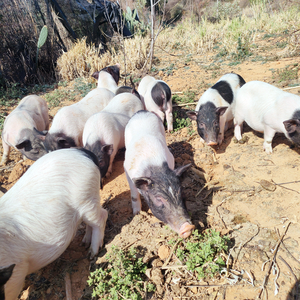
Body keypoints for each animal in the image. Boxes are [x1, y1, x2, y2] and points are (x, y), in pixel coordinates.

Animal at [0, 148, 108, 300]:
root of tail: (82, 152)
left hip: (86, 199)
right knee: (93, 222)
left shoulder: (17, 271)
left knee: (102, 217)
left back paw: (92, 254)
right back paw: (84, 243)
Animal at [122, 110, 195, 239]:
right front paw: (137, 214)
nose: (188, 227)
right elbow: (134, 195)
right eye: (158, 199)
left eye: (181, 192)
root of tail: (142, 111)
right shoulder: (127, 170)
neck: (155, 168)